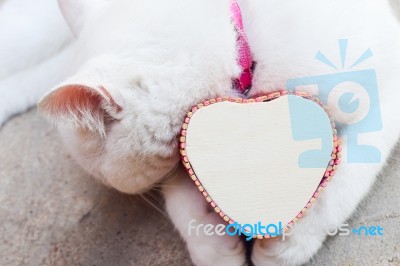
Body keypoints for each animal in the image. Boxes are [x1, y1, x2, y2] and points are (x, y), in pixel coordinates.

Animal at [0, 0, 400, 266]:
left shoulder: (387, 83)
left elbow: (348, 175)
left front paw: (292, 242)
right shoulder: (189, 143)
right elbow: (180, 195)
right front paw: (213, 248)